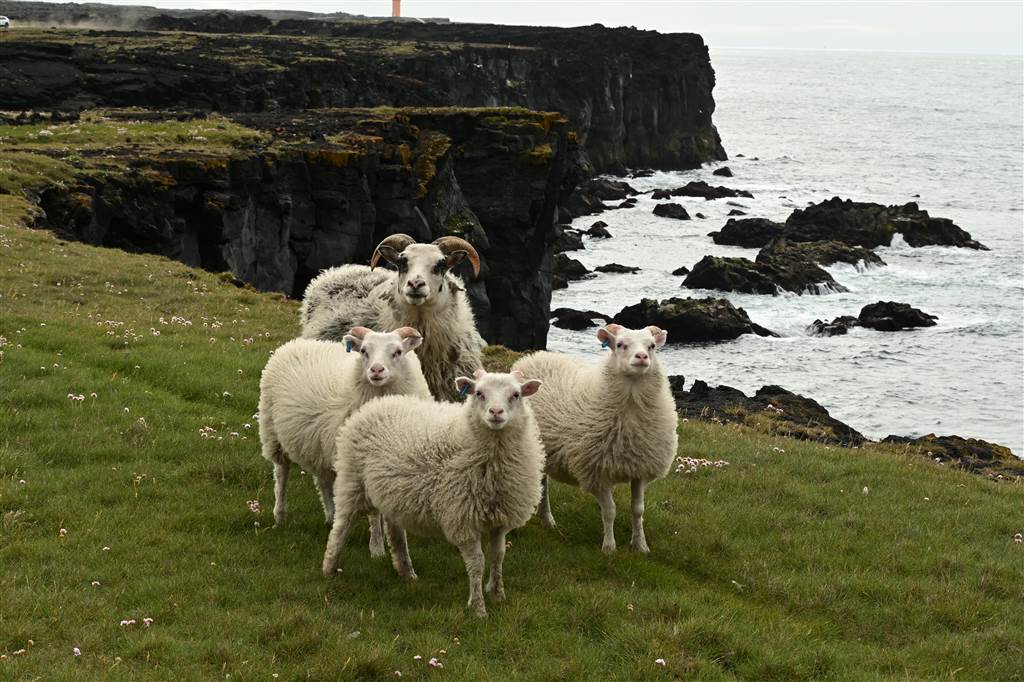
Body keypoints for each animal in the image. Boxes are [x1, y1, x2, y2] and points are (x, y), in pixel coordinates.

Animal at [258, 326, 431, 556]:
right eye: (364, 351)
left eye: (398, 352)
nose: (376, 370)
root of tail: (296, 343)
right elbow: (374, 513)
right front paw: (377, 548)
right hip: (273, 434)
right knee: (281, 475)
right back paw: (280, 515)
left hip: (319, 446)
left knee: (323, 481)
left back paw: (330, 517)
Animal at [322, 370, 545, 617]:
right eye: (479, 393)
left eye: (516, 395)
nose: (496, 413)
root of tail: (378, 403)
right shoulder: (462, 518)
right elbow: (477, 563)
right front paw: (478, 608)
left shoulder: (500, 519)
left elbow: (498, 556)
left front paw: (497, 595)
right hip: (352, 481)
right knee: (341, 528)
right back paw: (329, 569)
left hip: (391, 493)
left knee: (395, 533)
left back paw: (407, 572)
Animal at [511, 324, 678, 554]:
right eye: (620, 344)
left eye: (651, 346)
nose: (642, 357)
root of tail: (535, 356)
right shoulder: (597, 472)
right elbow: (609, 511)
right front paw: (609, 547)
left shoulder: (640, 469)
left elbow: (638, 510)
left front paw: (640, 545)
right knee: (542, 485)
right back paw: (547, 519)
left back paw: (548, 522)